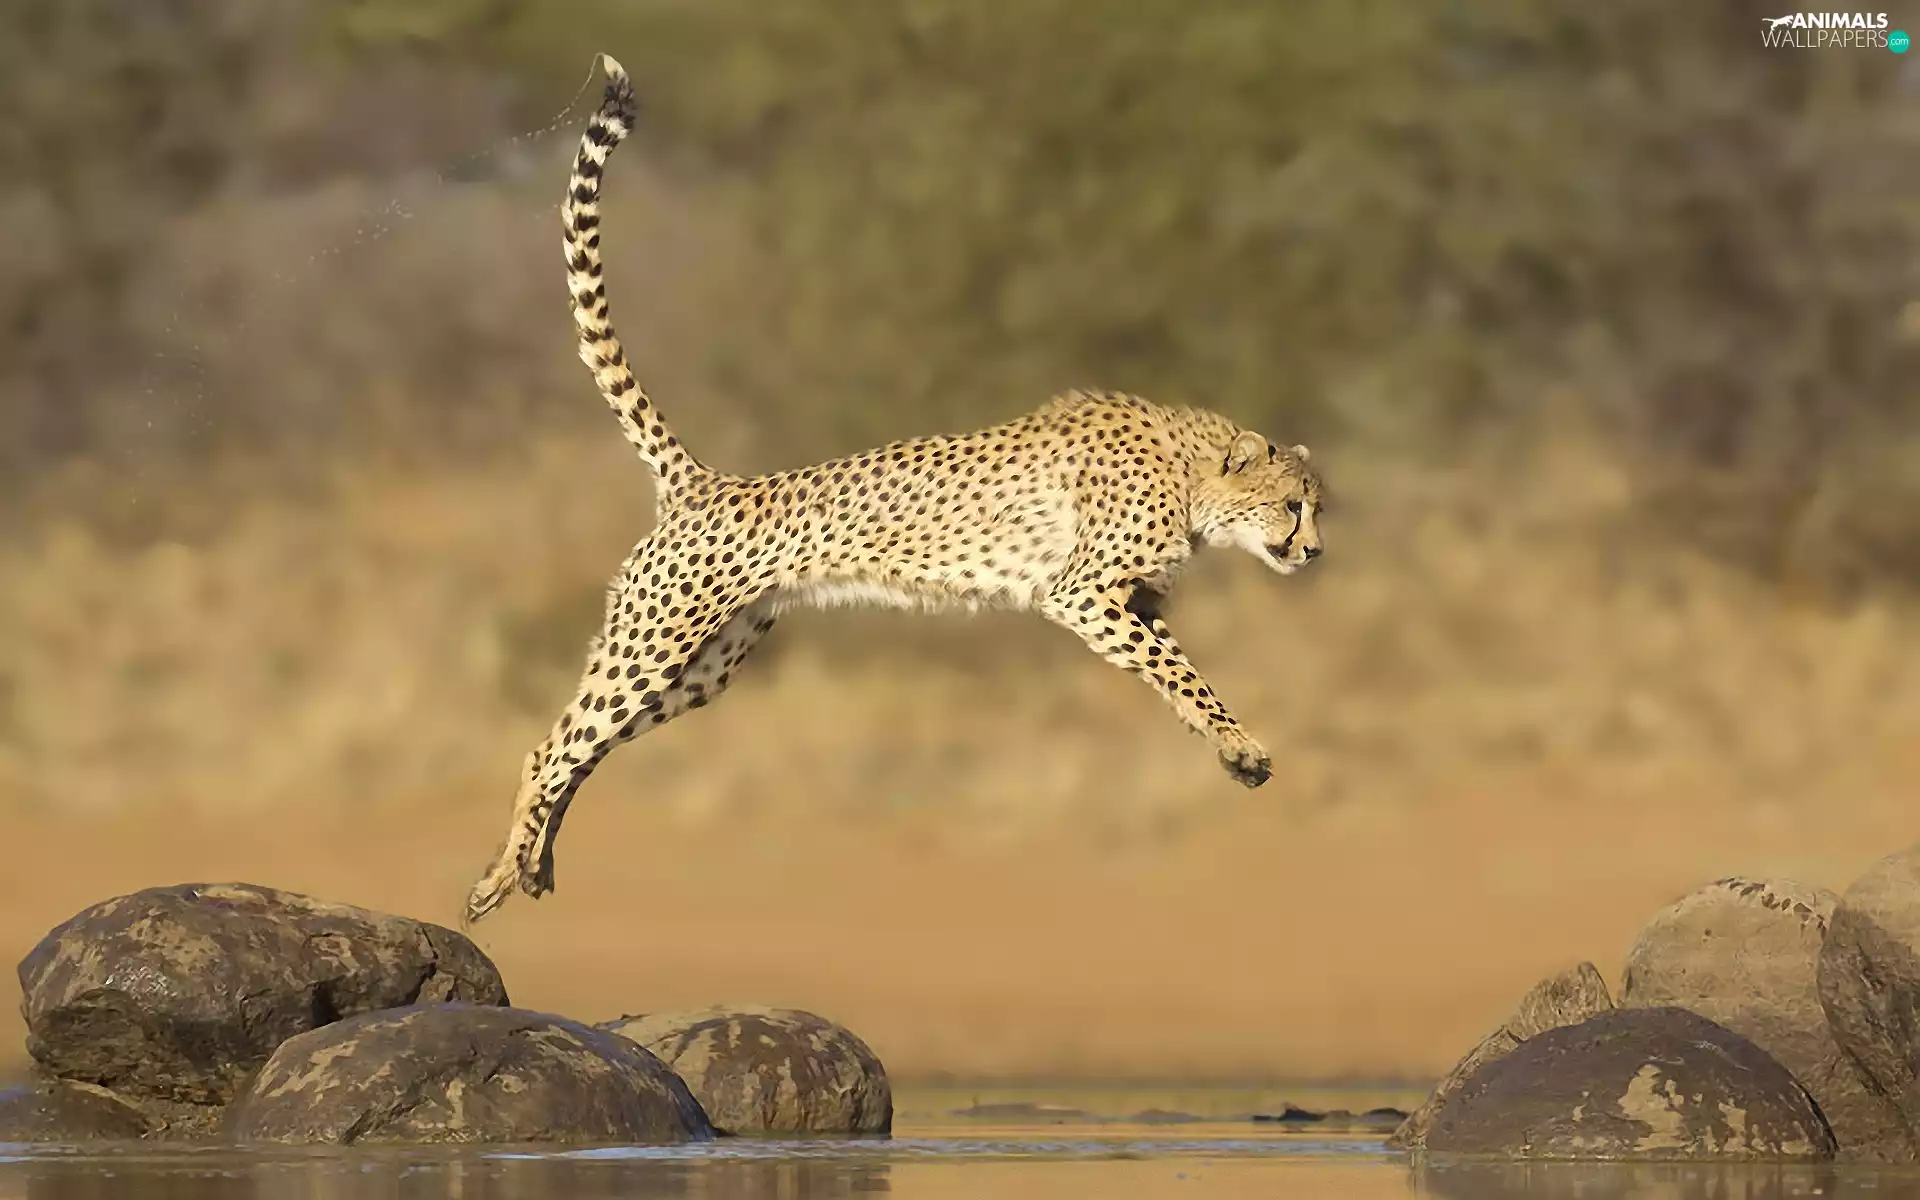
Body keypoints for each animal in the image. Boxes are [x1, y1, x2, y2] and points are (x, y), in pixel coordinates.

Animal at [464, 54, 1328, 926]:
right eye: (1293, 505)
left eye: (1315, 508)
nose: (1314, 552)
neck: (1191, 472)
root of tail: (707, 482)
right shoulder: (1080, 593)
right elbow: (1179, 671)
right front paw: (1241, 744)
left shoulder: (1132, 602)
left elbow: (1178, 670)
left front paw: (1232, 751)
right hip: (657, 640)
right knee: (552, 748)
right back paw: (498, 877)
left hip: (702, 665)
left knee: (582, 748)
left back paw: (534, 866)